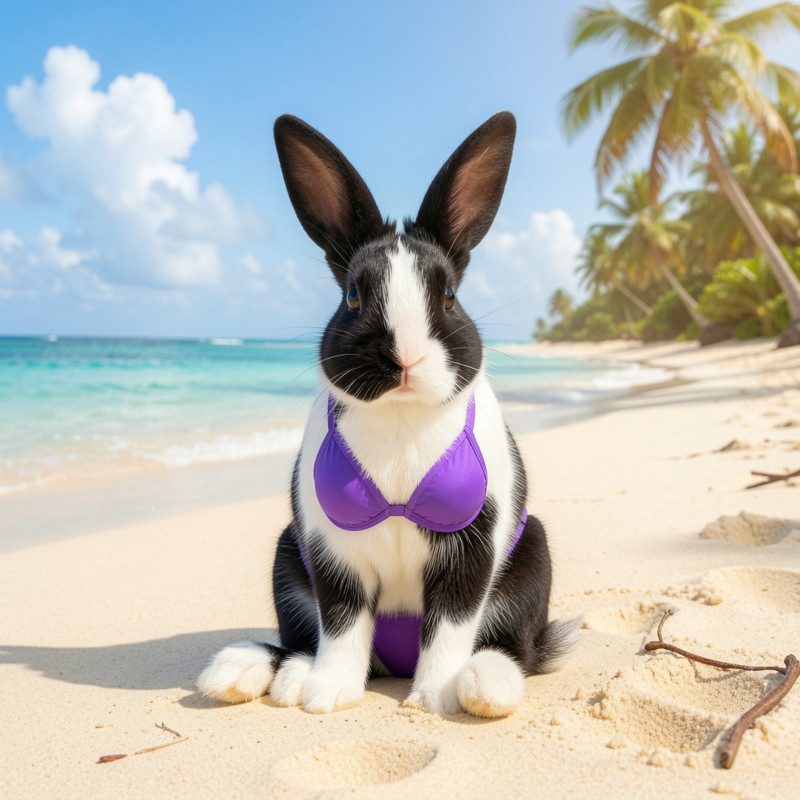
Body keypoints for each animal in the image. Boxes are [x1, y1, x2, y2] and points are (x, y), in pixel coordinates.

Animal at [197, 111, 578, 717]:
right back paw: (258, 674)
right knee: (302, 640)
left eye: (449, 297)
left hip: (532, 555)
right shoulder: (333, 556)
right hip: (286, 556)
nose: (405, 357)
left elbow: (450, 627)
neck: (401, 417)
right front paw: (328, 695)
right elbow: (343, 624)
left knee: (515, 646)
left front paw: (434, 699)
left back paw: (486, 687)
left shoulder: (470, 554)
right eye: (353, 296)